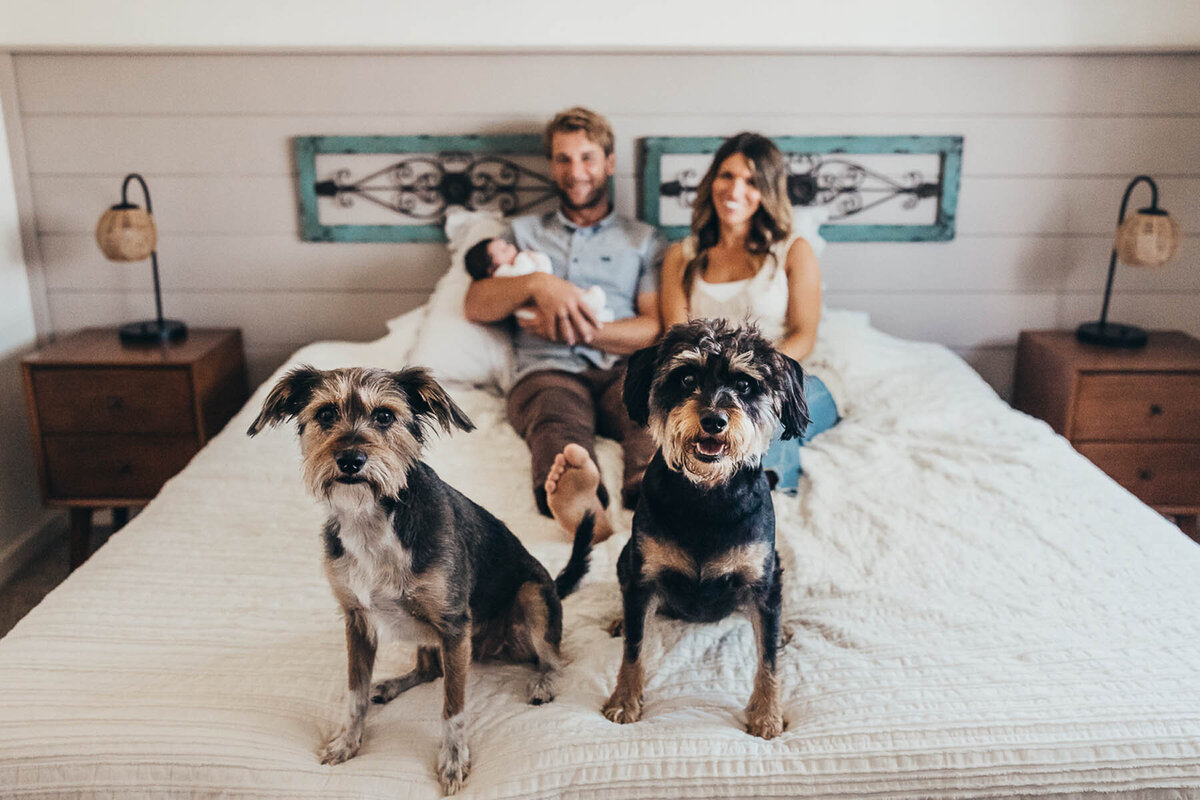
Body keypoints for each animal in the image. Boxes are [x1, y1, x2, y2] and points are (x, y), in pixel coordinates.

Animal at [249, 367, 595, 796]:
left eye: (384, 416)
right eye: (325, 414)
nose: (350, 460)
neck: (371, 517)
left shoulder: (453, 627)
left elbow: (452, 707)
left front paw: (453, 759)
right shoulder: (357, 620)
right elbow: (355, 694)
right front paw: (348, 740)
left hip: (531, 596)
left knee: (553, 658)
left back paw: (544, 682)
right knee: (429, 669)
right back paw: (390, 685)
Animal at [600, 319, 806, 738]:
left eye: (745, 384)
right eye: (686, 377)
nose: (714, 420)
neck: (707, 497)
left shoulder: (761, 583)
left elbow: (768, 659)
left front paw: (767, 714)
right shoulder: (643, 577)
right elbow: (634, 648)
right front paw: (624, 700)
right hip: (625, 558)